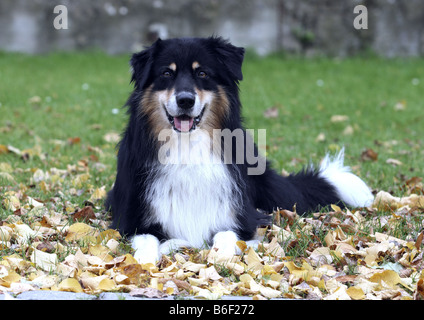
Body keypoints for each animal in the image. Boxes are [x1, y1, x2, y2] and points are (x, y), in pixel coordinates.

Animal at [105, 36, 372, 264]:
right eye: (166, 73)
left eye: (202, 73)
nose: (185, 100)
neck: (188, 145)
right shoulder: (132, 218)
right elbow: (146, 241)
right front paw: (143, 262)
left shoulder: (242, 217)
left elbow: (226, 235)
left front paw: (220, 257)